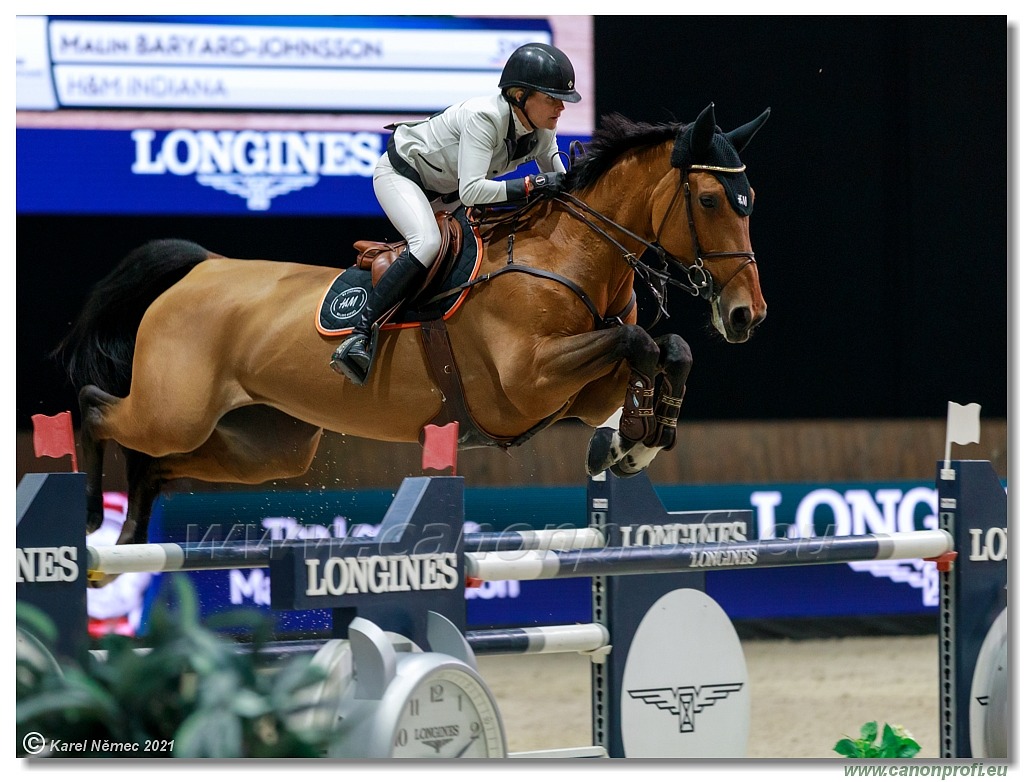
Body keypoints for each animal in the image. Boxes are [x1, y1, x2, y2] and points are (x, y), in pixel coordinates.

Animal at [58, 102, 770, 560]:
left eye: (750, 202)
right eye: (710, 200)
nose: (747, 315)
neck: (569, 255)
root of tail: (202, 267)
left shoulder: (576, 390)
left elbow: (667, 349)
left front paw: (634, 441)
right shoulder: (528, 382)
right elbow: (639, 343)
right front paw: (627, 441)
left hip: (265, 443)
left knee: (156, 464)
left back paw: (130, 533)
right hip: (174, 410)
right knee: (95, 408)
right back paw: (90, 514)